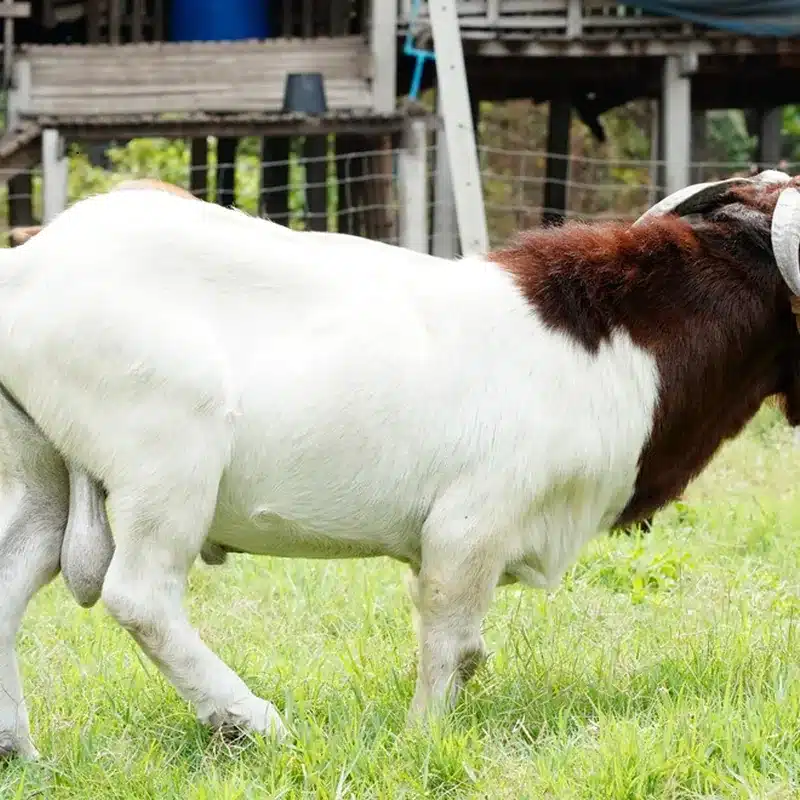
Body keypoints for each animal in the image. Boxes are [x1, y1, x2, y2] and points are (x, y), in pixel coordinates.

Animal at [2, 169, 800, 759]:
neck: (614, 342)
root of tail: (27, 265)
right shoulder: (470, 527)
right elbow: (454, 644)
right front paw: (423, 739)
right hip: (168, 462)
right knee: (140, 594)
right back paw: (253, 721)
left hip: (41, 470)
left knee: (15, 577)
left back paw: (22, 751)